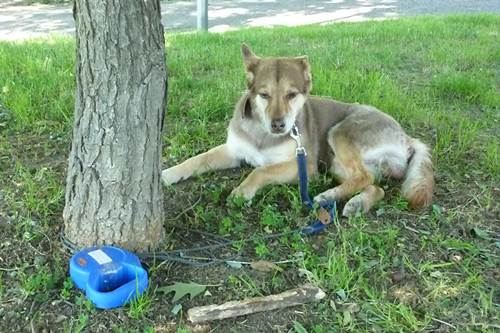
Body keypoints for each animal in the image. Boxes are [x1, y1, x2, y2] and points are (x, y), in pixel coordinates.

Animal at [161, 44, 434, 215]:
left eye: (292, 95)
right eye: (264, 95)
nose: (279, 125)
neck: (262, 132)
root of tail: (407, 138)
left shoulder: (304, 166)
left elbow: (260, 171)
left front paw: (242, 192)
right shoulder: (233, 151)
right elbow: (198, 159)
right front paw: (168, 174)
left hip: (339, 134)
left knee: (364, 177)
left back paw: (328, 196)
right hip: (336, 165)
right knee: (375, 186)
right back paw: (355, 203)